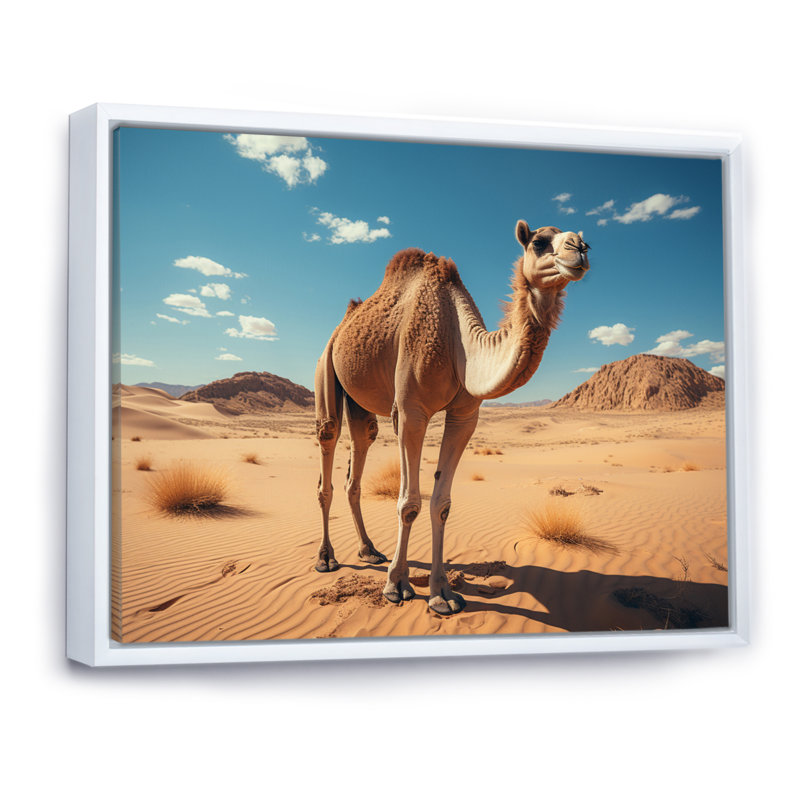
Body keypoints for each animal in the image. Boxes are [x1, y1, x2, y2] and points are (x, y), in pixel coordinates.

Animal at [314, 221, 590, 615]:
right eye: (539, 242)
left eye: (588, 244)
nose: (578, 250)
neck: (458, 342)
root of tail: (344, 323)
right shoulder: (411, 411)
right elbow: (409, 503)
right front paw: (397, 586)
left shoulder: (464, 416)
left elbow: (441, 504)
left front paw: (441, 594)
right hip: (326, 365)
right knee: (329, 439)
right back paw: (326, 558)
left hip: (359, 398)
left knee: (361, 447)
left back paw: (369, 550)